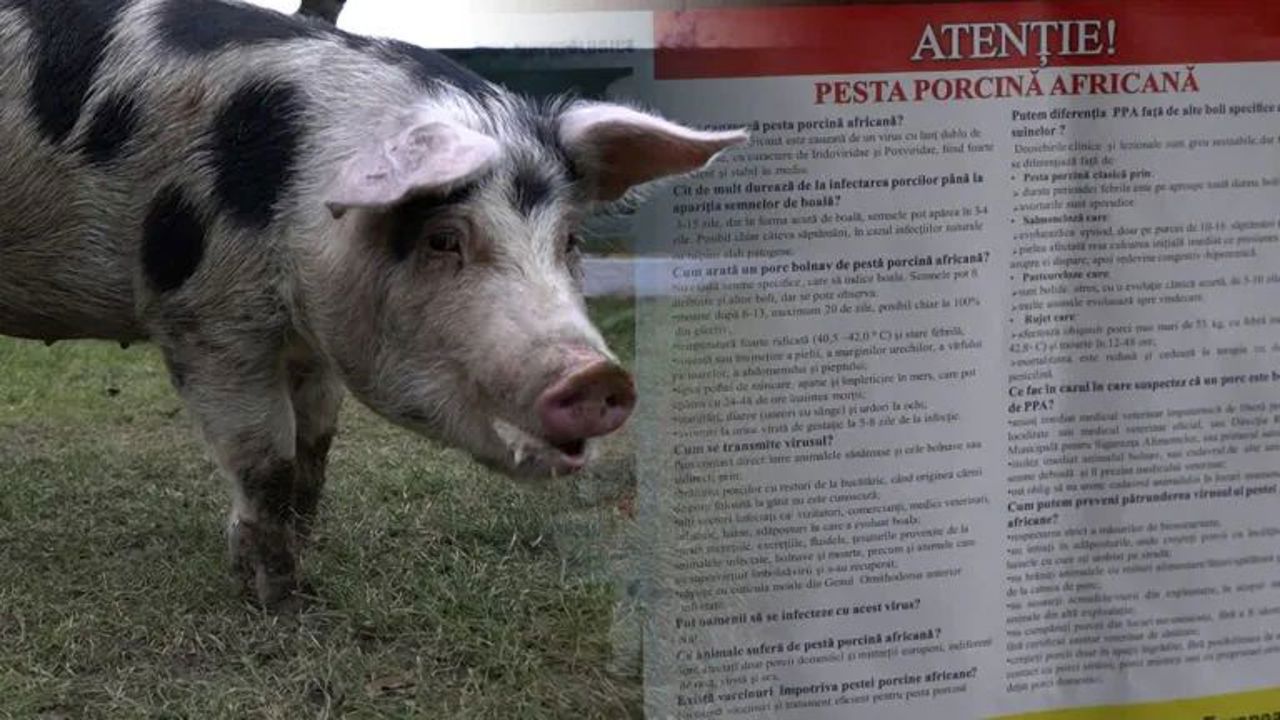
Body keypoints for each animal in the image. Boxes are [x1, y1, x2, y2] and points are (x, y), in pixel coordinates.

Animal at [0, 0, 744, 608]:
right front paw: (282, 602)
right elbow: (266, 460)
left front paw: (305, 552)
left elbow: (316, 446)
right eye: (443, 238)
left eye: (571, 239)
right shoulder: (202, 317)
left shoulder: (311, 341)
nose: (598, 376)